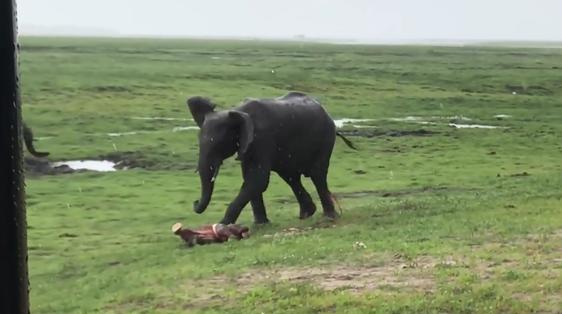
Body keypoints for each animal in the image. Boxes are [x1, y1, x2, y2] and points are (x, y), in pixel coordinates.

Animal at [187, 92, 354, 224]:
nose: (194, 202)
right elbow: (250, 179)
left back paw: (329, 217)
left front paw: (222, 225)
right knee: (291, 177)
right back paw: (306, 214)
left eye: (218, 144)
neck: (237, 111)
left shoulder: (262, 139)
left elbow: (257, 179)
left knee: (317, 175)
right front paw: (261, 224)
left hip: (325, 139)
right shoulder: (248, 145)